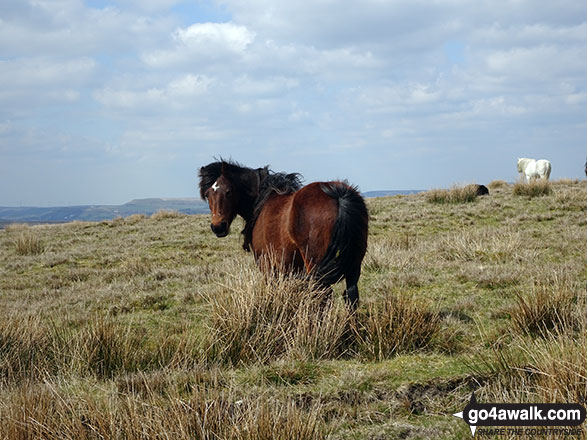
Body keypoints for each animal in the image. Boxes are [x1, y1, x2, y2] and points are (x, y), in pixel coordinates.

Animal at [200, 160, 370, 308]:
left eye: (228, 191)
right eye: (208, 194)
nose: (218, 227)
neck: (262, 201)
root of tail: (338, 196)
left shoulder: (267, 266)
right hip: (353, 265)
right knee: (351, 295)